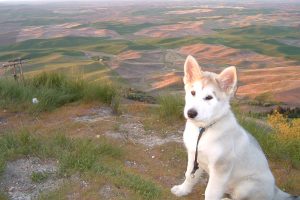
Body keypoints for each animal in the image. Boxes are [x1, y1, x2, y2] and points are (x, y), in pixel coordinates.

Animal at [170, 55, 298, 199]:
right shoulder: (194, 156)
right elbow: (189, 176)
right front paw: (183, 190)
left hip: (246, 186)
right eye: (192, 92)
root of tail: (275, 190)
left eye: (209, 97)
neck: (203, 130)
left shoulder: (221, 168)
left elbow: (211, 192)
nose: (191, 113)